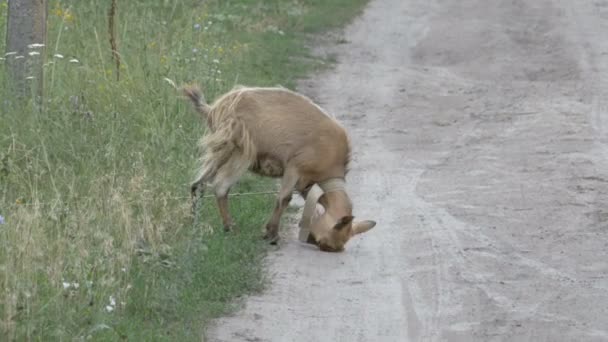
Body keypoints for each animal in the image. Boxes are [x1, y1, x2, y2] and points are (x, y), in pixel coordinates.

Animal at [182, 83, 376, 251]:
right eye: (326, 243)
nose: (314, 241)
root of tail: (213, 110)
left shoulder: (304, 181)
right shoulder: (294, 167)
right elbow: (284, 198)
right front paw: (272, 234)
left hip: (222, 151)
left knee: (198, 184)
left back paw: (193, 223)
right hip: (240, 151)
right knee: (221, 187)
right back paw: (229, 227)